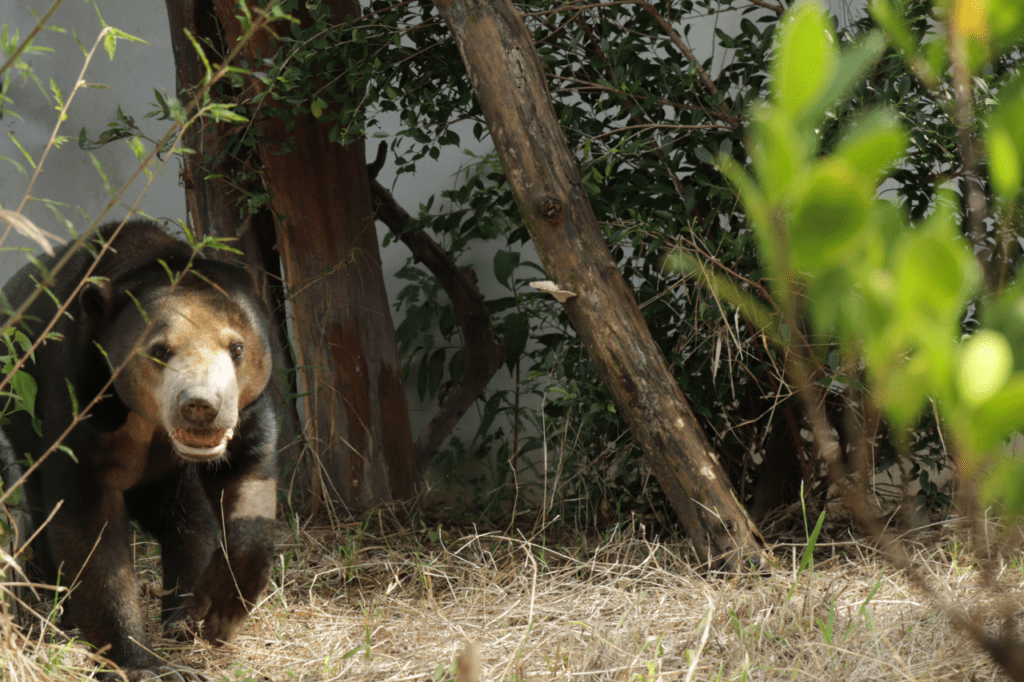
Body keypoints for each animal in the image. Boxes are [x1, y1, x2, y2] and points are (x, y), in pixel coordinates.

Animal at [0, 219, 278, 681]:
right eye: (159, 350)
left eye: (237, 348)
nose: (201, 406)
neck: (146, 419)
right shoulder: (77, 399)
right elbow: (89, 533)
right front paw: (147, 665)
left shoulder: (245, 410)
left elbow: (248, 474)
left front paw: (221, 606)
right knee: (42, 512)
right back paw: (59, 610)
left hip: (165, 475)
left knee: (185, 516)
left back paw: (183, 618)